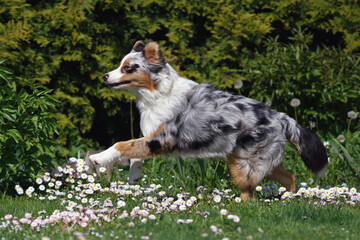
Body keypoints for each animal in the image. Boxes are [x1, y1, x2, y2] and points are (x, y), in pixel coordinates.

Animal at [88, 40, 328, 201]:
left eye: (127, 68)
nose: (105, 76)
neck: (156, 93)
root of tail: (282, 117)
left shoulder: (163, 138)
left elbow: (122, 144)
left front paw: (98, 158)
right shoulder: (152, 136)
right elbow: (134, 152)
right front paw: (135, 177)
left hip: (243, 163)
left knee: (250, 194)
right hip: (255, 159)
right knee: (290, 177)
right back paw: (288, 199)